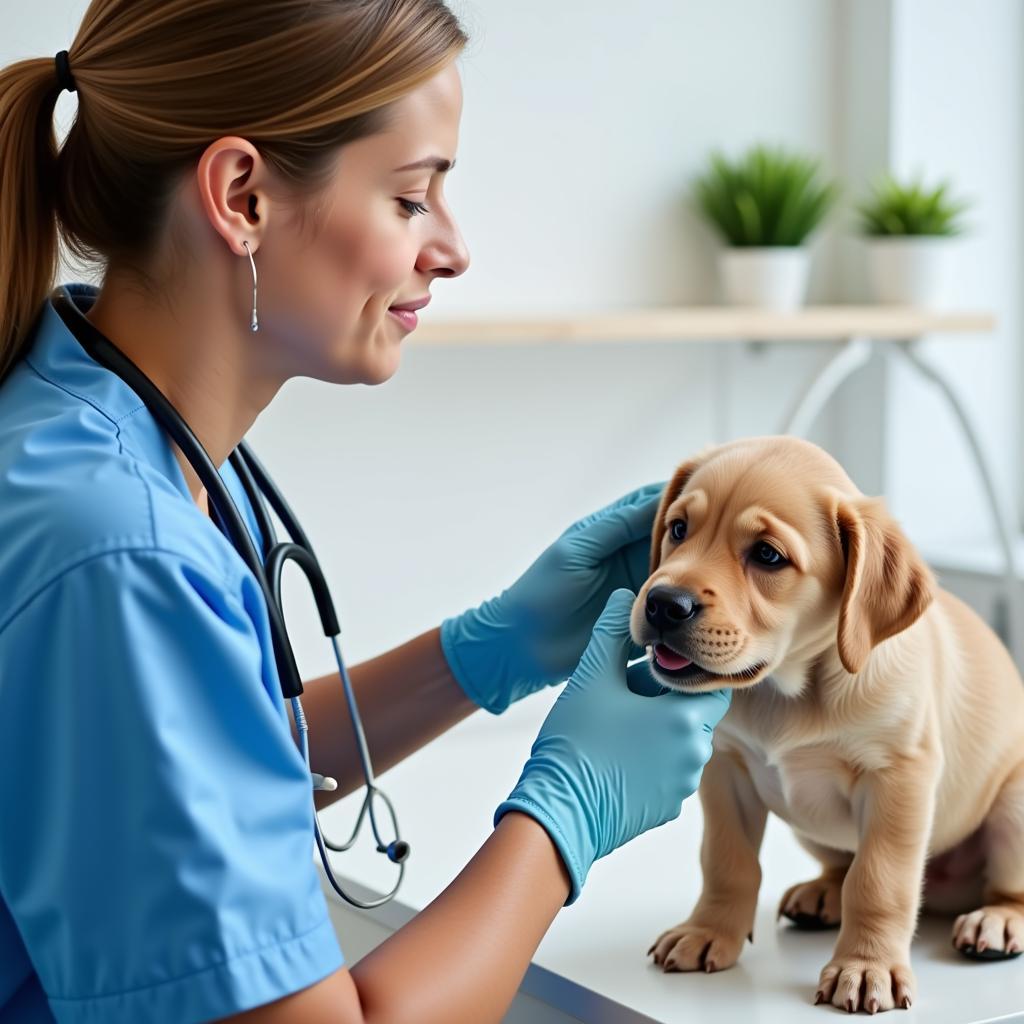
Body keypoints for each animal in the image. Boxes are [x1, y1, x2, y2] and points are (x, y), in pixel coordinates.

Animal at [634, 436, 1024, 1011]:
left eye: (767, 555)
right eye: (679, 529)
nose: (663, 604)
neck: (790, 688)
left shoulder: (898, 778)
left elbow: (879, 880)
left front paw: (866, 967)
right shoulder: (727, 771)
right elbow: (727, 861)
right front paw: (709, 931)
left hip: (1013, 811)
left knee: (1005, 888)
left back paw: (996, 921)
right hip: (811, 830)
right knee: (841, 866)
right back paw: (822, 893)